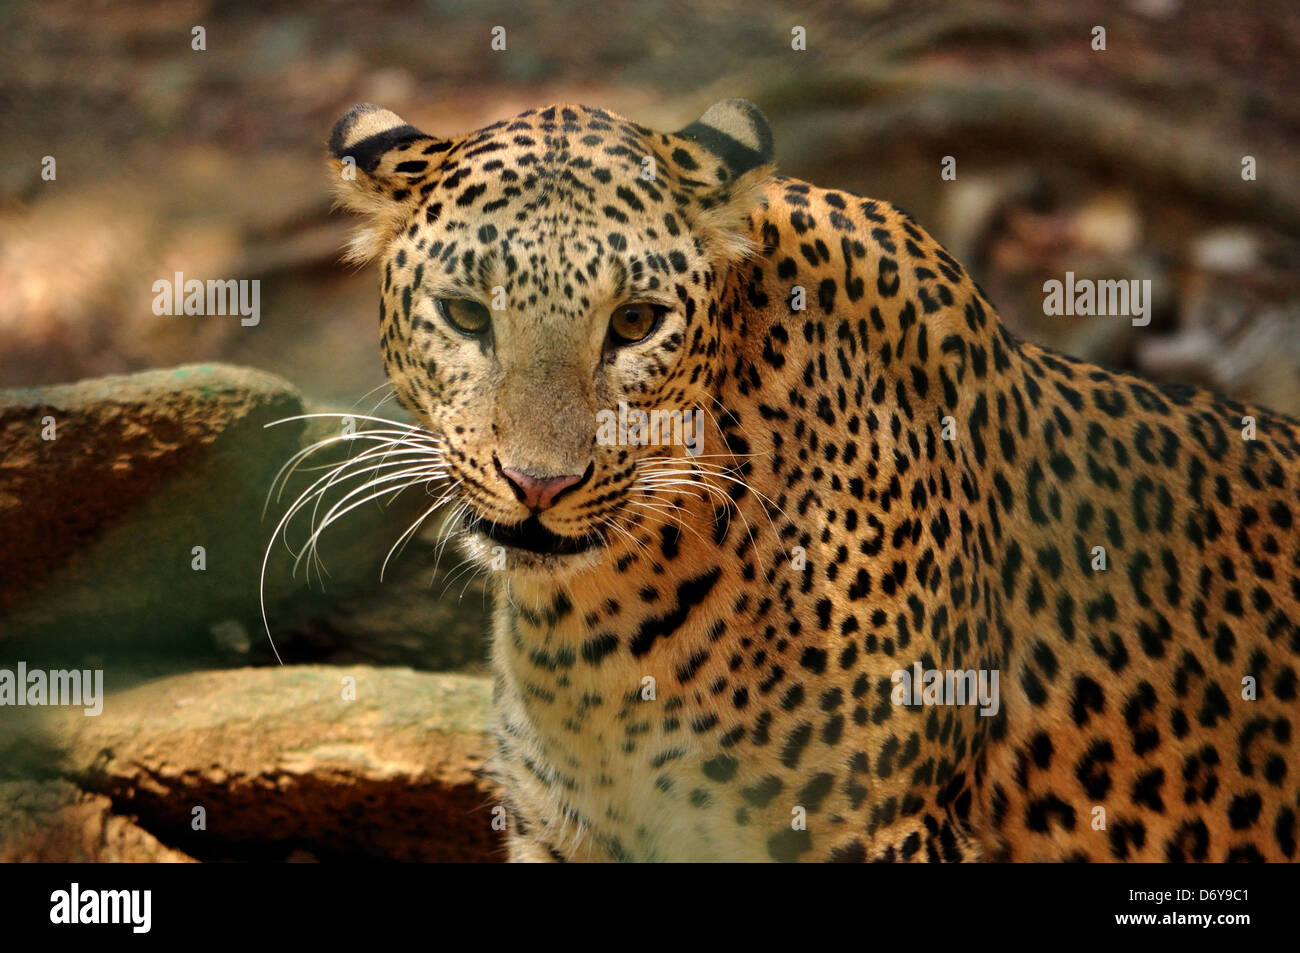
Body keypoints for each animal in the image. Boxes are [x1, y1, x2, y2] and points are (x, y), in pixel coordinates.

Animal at [325, 98, 1300, 863]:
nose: (537, 482)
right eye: (464, 314)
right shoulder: (562, 831)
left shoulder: (878, 833)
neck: (598, 632)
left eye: (635, 322)